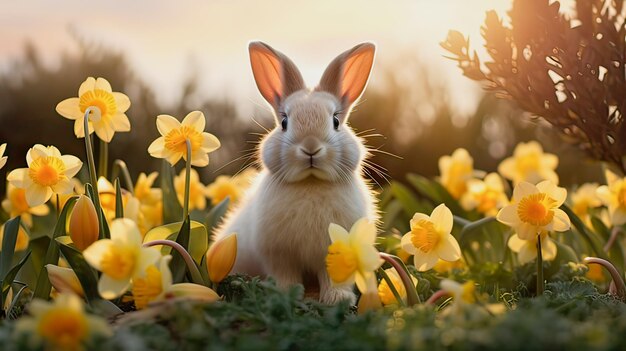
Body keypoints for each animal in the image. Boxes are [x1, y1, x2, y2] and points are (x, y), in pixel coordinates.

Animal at [214, 41, 378, 306]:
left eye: (335, 121)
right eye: (284, 123)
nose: (310, 148)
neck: (310, 183)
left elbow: (334, 277)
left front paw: (337, 299)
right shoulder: (279, 255)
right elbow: (286, 275)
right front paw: (287, 295)